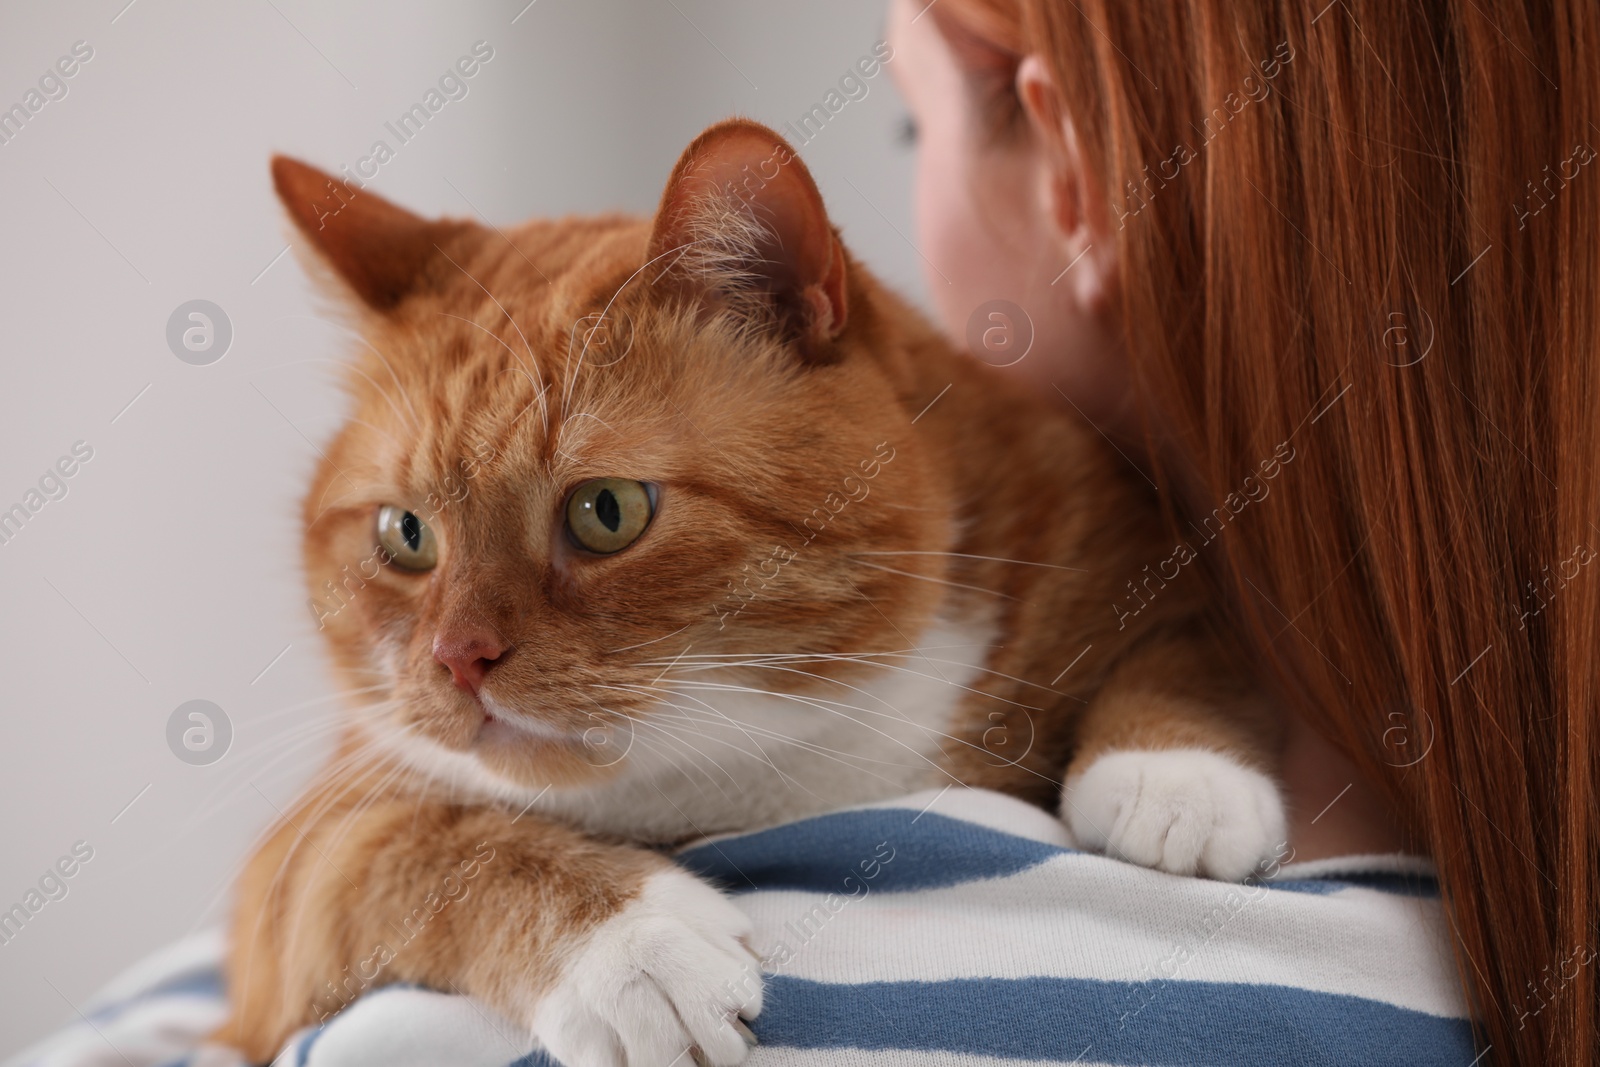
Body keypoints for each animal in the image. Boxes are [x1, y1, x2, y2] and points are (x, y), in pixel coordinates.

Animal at [219, 119, 1280, 1067]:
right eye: (405, 535)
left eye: (607, 511)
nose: (457, 657)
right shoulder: (296, 874)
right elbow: (426, 847)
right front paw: (629, 949)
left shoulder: (1125, 537)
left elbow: (1188, 646)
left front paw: (1175, 777)